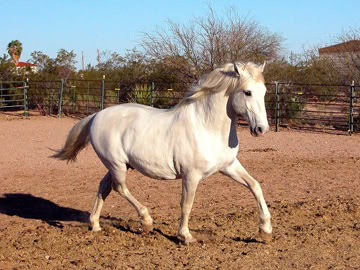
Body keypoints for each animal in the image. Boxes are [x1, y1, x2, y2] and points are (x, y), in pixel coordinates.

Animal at [52, 62, 272, 244]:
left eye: (264, 92)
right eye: (247, 92)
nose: (262, 129)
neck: (206, 127)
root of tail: (96, 115)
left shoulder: (229, 166)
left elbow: (255, 186)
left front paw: (265, 230)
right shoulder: (191, 175)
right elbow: (186, 203)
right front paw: (185, 236)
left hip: (119, 165)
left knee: (104, 187)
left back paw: (95, 224)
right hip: (116, 164)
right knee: (119, 187)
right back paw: (146, 221)